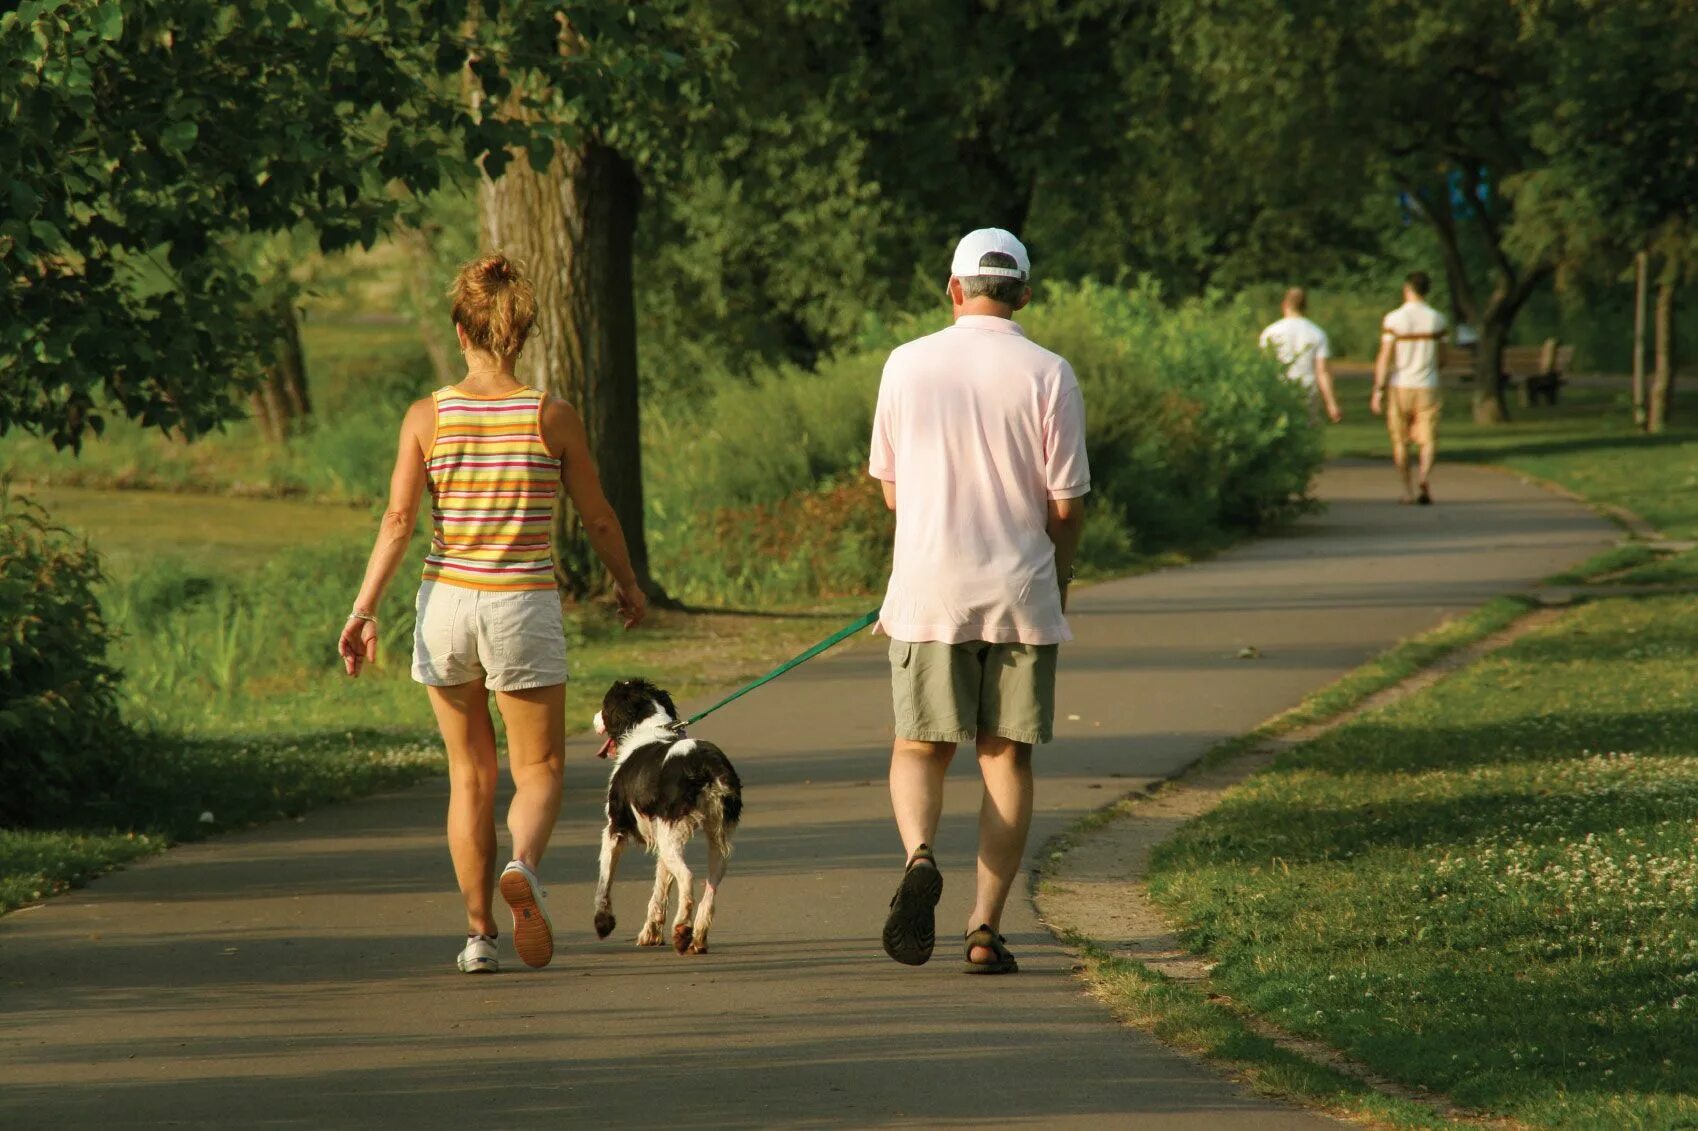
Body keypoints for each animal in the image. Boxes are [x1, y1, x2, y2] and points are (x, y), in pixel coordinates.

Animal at [594, 679, 740, 950]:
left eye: (605, 704)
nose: (594, 718)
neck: (650, 726)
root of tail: (705, 764)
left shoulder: (614, 829)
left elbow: (604, 880)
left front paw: (603, 923)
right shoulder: (661, 836)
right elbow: (660, 890)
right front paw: (650, 933)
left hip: (673, 837)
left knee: (688, 878)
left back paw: (682, 929)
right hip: (714, 839)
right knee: (711, 886)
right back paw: (697, 937)